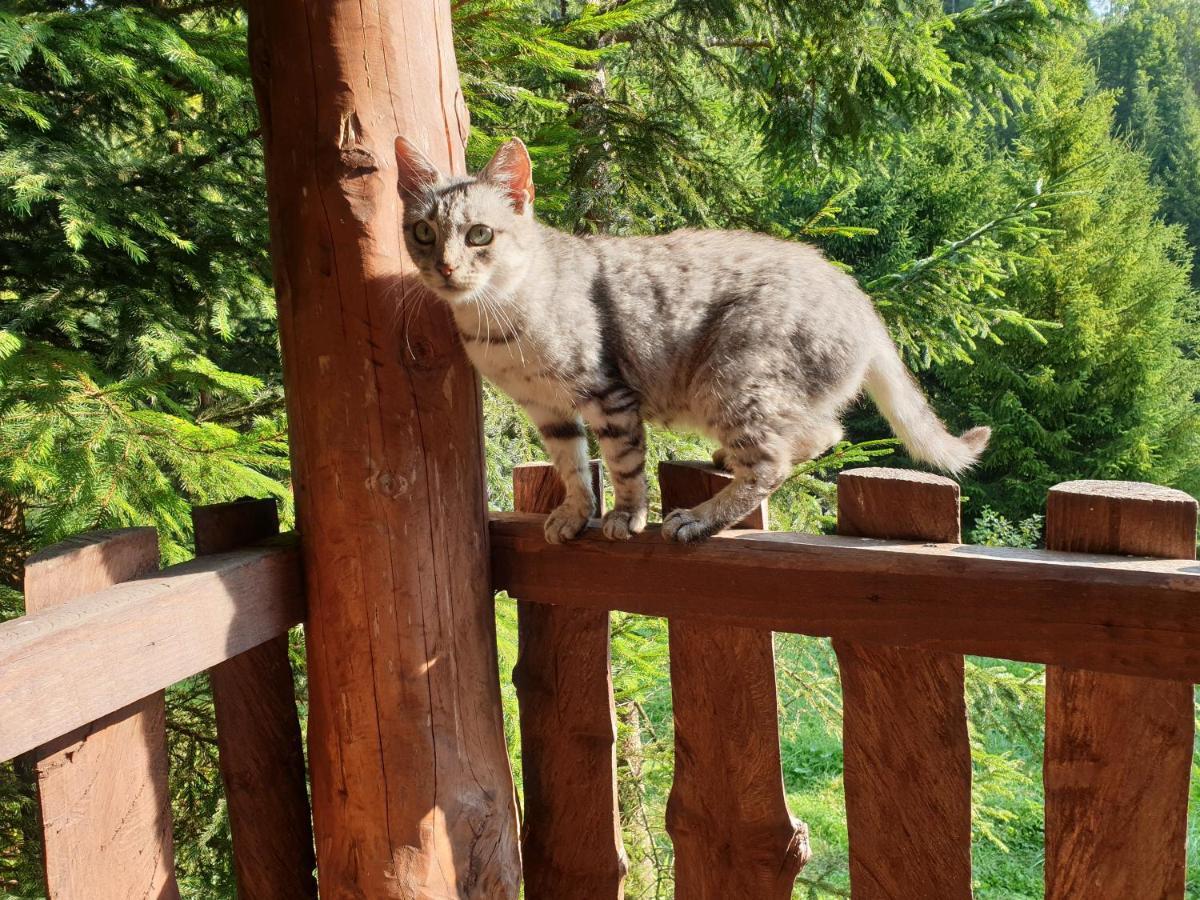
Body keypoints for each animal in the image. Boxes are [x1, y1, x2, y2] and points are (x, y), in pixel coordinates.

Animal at [393, 133, 993, 542]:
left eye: (479, 234)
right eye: (423, 232)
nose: (445, 267)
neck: (497, 324)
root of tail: (861, 301)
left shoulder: (608, 395)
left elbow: (623, 466)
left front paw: (625, 517)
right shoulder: (548, 410)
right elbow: (573, 469)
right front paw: (574, 515)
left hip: (731, 379)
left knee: (780, 458)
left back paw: (698, 518)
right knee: (819, 433)